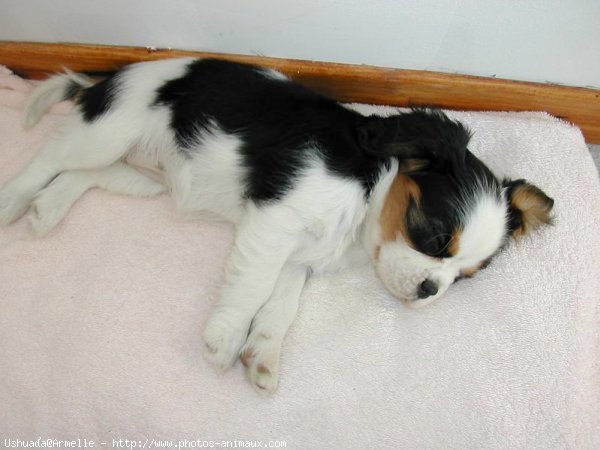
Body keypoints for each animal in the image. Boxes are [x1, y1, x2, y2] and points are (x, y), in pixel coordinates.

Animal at [0, 59, 552, 394]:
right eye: (435, 239)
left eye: (465, 278)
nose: (429, 289)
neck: (368, 191)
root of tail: (107, 77)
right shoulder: (275, 221)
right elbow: (253, 286)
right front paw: (223, 339)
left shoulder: (299, 256)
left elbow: (280, 306)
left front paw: (262, 354)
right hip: (109, 132)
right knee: (48, 158)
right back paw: (12, 200)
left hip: (141, 177)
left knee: (80, 175)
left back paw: (47, 209)